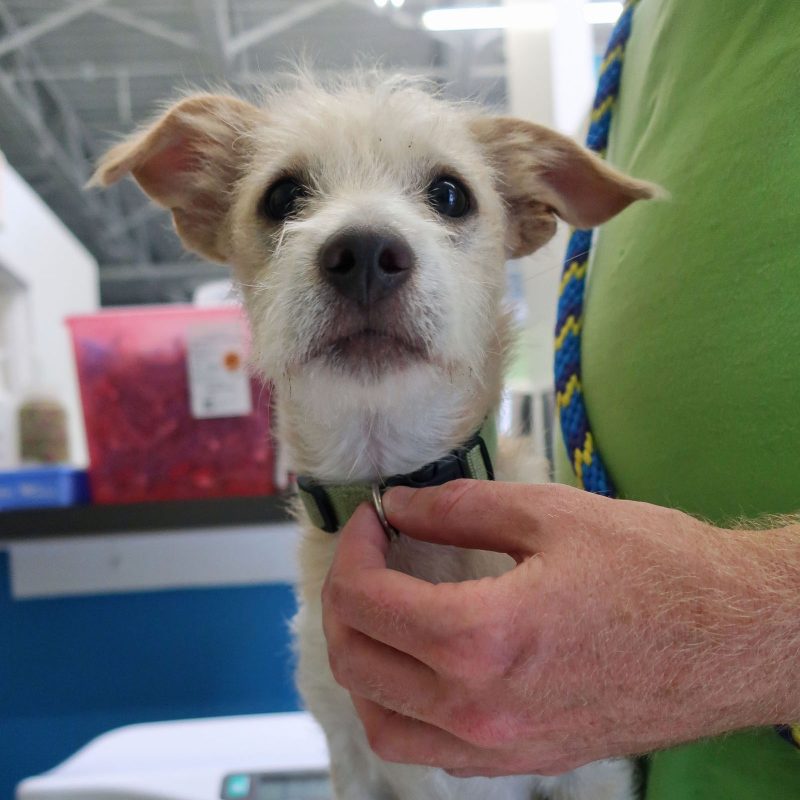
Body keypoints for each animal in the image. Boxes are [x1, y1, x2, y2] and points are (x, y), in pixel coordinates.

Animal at [94, 75, 656, 800]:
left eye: (451, 195)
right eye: (282, 196)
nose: (363, 253)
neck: (389, 477)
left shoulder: (588, 767)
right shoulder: (352, 757)